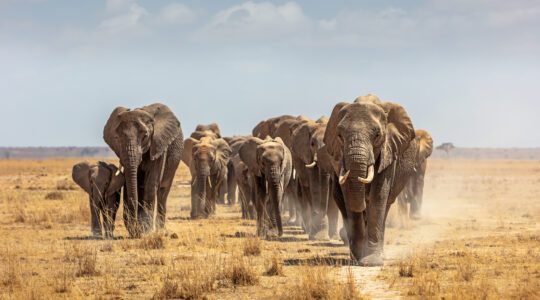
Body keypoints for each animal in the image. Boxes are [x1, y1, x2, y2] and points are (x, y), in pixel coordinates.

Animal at [103, 103, 184, 237]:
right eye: (116, 137)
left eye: (145, 136)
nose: (136, 229)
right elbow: (130, 184)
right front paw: (139, 230)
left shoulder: (159, 146)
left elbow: (151, 184)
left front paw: (146, 230)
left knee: (162, 192)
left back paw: (161, 231)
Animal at [322, 93, 416, 264]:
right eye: (339, 135)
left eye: (377, 135)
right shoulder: (340, 158)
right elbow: (349, 195)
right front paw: (357, 259)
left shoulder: (389, 150)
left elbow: (379, 195)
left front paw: (371, 262)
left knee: (385, 206)